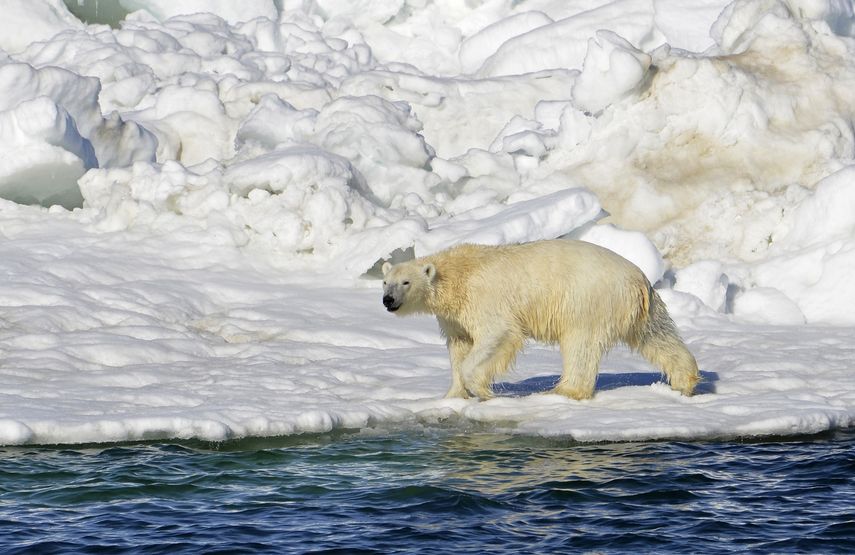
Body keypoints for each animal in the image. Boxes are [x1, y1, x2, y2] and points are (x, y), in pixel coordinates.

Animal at [381, 239, 699, 400]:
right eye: (385, 282)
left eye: (406, 282)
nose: (388, 300)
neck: (458, 274)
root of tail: (638, 279)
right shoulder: (454, 317)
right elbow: (459, 346)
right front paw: (453, 395)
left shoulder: (485, 299)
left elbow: (497, 334)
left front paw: (482, 390)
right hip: (641, 307)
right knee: (657, 336)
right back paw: (685, 381)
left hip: (587, 300)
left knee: (580, 345)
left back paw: (564, 390)